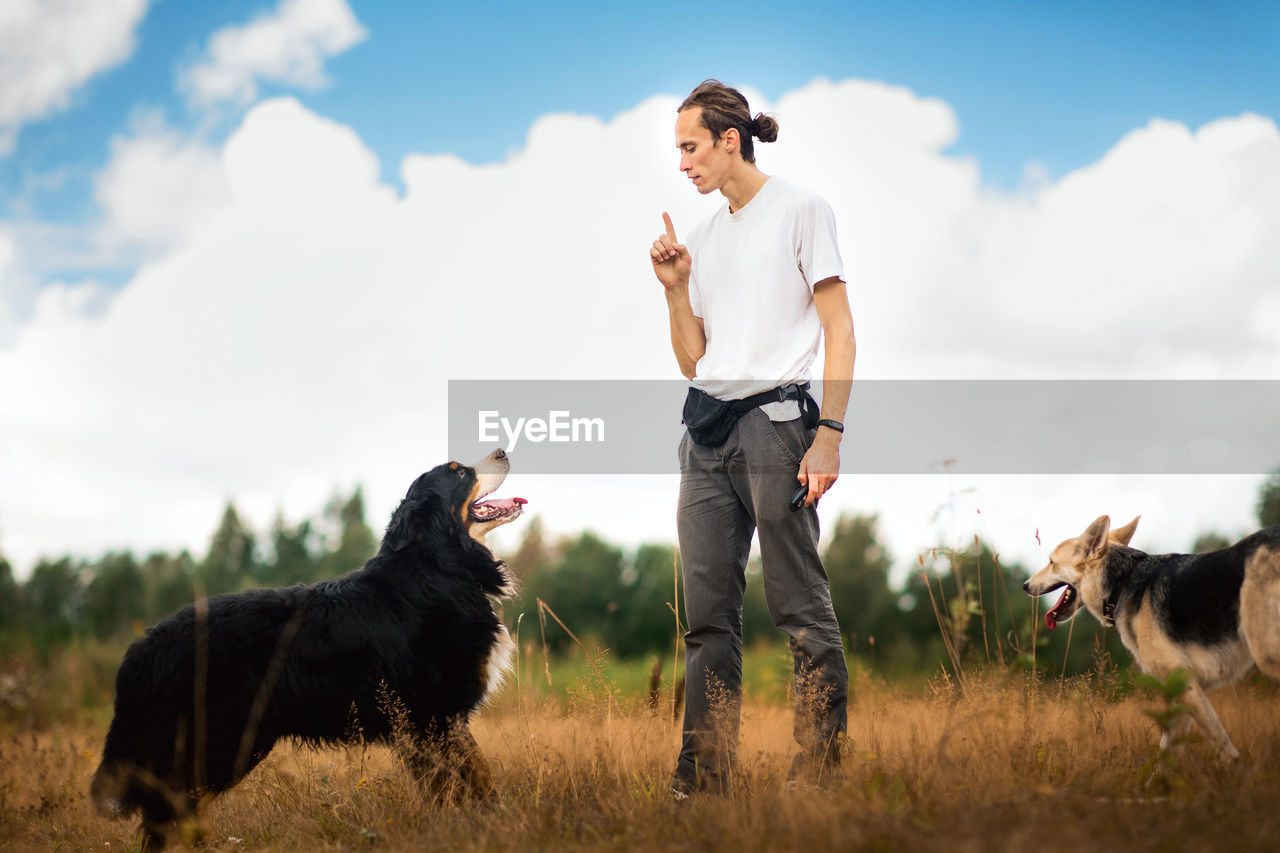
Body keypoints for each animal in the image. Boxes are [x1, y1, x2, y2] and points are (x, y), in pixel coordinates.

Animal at [91, 448, 524, 845]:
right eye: (459, 472)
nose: (503, 451)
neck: (437, 566)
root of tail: (143, 647)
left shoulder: (429, 723)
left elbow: (463, 783)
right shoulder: (436, 716)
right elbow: (471, 783)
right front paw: (481, 826)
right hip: (216, 740)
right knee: (166, 813)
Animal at [1024, 512, 1280, 758]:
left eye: (1051, 562)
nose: (1025, 585)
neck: (1121, 582)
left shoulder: (1182, 683)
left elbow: (1219, 743)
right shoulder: (1185, 691)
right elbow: (1168, 752)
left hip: (1266, 654)